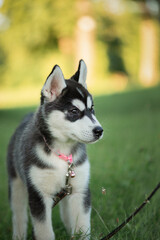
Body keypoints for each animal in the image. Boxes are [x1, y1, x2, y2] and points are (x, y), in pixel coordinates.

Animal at [6, 60, 103, 240]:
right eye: (74, 111)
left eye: (92, 109)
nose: (99, 131)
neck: (61, 153)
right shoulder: (38, 194)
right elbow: (44, 230)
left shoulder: (80, 190)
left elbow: (82, 226)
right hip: (16, 184)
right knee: (19, 215)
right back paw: (19, 234)